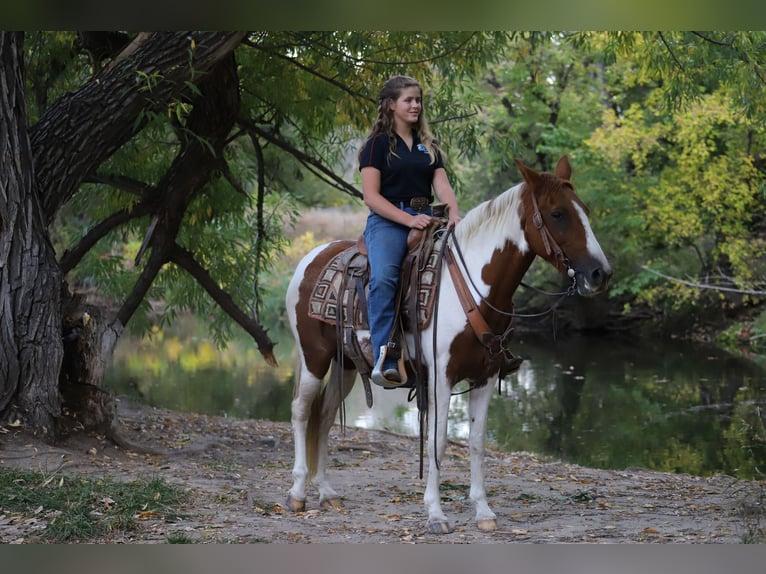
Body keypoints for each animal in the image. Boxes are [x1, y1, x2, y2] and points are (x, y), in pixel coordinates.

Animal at [284, 156, 616, 536]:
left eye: (585, 210)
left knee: (324, 417)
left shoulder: (485, 377)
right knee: (301, 412)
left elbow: (477, 442)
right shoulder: (440, 378)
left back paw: (326, 492)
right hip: (314, 357)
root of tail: (312, 256)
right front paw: (436, 514)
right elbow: (437, 441)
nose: (600, 274)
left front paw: (483, 511)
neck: (475, 290)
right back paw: (297, 493)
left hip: (348, 366)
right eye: (558, 213)